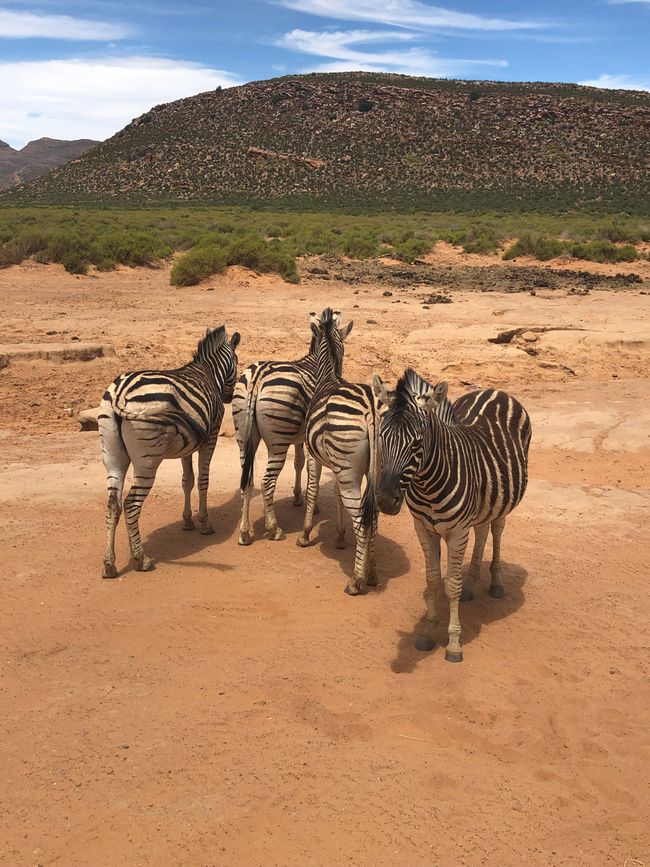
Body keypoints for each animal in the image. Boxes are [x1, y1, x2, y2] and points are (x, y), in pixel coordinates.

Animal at [96, 328, 238, 580]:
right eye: (237, 363)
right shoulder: (210, 437)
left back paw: (109, 564)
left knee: (113, 504)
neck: (208, 373)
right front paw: (204, 523)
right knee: (131, 503)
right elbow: (203, 480)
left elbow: (187, 480)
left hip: (112, 455)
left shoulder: (187, 444)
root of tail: (119, 393)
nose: (228, 397)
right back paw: (141, 559)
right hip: (147, 459)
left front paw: (187, 521)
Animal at [232, 308, 326, 544]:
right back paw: (274, 529)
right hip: (278, 440)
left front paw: (298, 497)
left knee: (247, 481)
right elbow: (307, 468)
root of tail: (256, 377)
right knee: (267, 482)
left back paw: (244, 533)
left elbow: (299, 463)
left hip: (243, 436)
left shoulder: (300, 437)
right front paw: (310, 504)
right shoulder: (305, 438)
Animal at [294, 306, 380, 596]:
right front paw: (341, 538)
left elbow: (312, 491)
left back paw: (356, 580)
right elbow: (338, 498)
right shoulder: (341, 468)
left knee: (363, 520)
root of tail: (370, 409)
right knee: (372, 516)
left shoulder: (314, 456)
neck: (328, 377)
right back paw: (371, 574)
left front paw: (305, 534)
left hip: (347, 470)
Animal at [372, 368, 528, 664]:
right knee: (482, 531)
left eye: (417, 443)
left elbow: (451, 584)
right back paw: (471, 586)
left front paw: (454, 644)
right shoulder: (423, 527)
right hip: (482, 504)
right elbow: (434, 580)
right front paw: (427, 633)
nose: (385, 501)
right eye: (381, 438)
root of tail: (494, 390)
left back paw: (496, 583)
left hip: (501, 503)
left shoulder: (457, 531)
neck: (427, 484)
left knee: (496, 530)